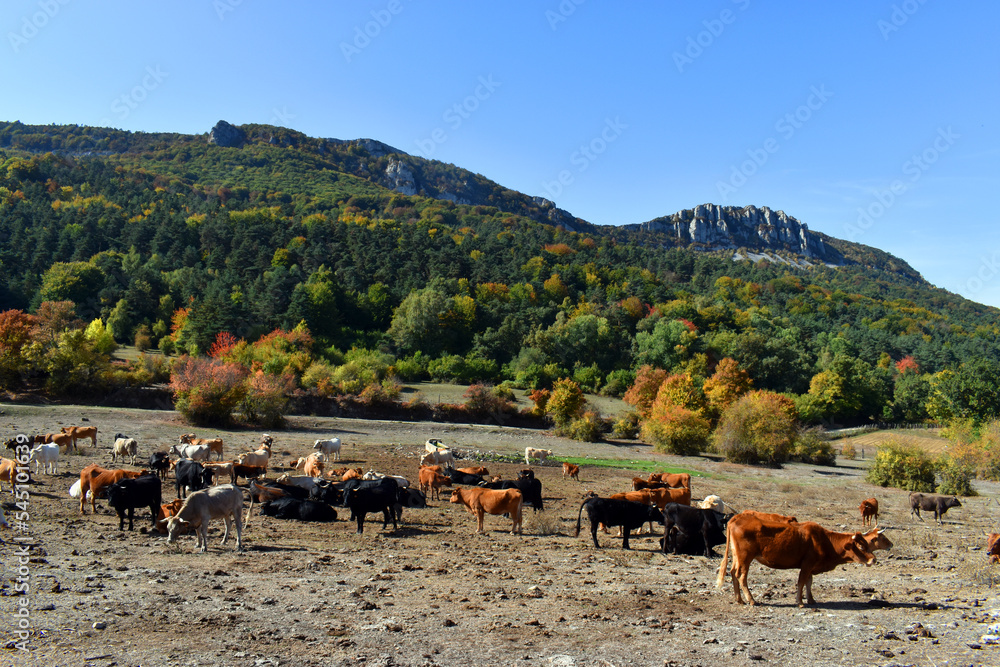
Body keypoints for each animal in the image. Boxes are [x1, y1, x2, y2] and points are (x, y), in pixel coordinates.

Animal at [716, 513, 880, 606]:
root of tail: (736, 518)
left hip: (737, 556)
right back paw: (751, 600)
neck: (824, 540)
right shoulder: (807, 565)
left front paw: (811, 600)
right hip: (746, 557)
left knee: (733, 572)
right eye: (861, 546)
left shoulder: (811, 567)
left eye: (867, 545)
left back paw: (739, 599)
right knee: (741, 576)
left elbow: (809, 582)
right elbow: (801, 582)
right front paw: (800, 602)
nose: (874, 560)